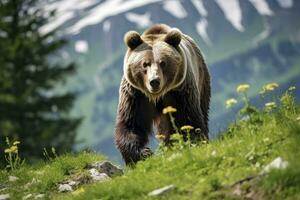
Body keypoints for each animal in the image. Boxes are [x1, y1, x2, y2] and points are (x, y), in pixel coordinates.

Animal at [115, 24, 211, 165]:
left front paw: (193, 142)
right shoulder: (136, 95)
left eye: (163, 63)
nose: (154, 81)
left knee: (202, 109)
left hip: (201, 78)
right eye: (145, 64)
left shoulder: (179, 92)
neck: (157, 96)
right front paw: (143, 153)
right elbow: (131, 124)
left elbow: (189, 120)